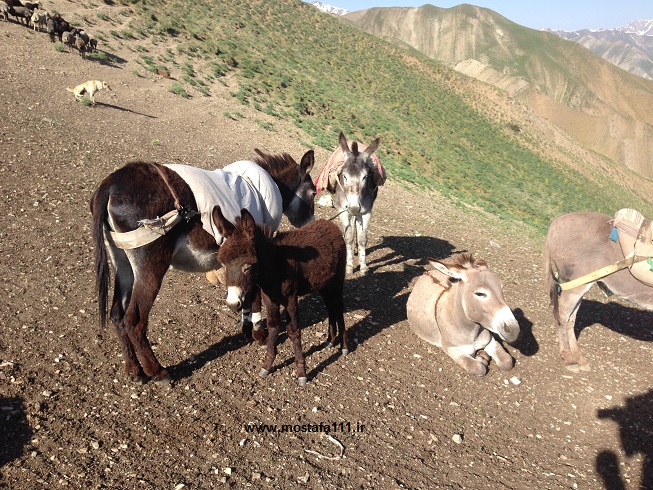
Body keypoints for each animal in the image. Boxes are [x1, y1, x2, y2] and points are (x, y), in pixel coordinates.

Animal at [90, 149, 316, 385]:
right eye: (313, 192)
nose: (310, 223)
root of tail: (111, 185)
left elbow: (246, 292)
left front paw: (246, 327)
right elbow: (254, 295)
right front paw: (258, 333)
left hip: (122, 262)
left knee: (117, 314)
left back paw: (135, 371)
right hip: (150, 267)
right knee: (134, 320)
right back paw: (158, 372)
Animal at [213, 206, 348, 385]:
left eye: (248, 266)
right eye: (223, 264)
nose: (233, 304)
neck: (275, 265)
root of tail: (331, 225)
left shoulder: (291, 299)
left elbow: (293, 331)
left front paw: (302, 373)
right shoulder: (269, 298)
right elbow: (273, 326)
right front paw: (267, 365)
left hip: (337, 281)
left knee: (338, 307)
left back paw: (344, 346)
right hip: (324, 284)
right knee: (330, 307)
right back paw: (330, 341)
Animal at [316, 132, 384, 275]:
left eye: (365, 177)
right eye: (344, 176)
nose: (354, 207)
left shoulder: (366, 211)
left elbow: (362, 238)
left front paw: (363, 267)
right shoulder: (343, 210)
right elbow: (348, 237)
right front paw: (349, 266)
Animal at [544, 211, 653, 372]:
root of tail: (556, 223)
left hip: (579, 284)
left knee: (571, 319)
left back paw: (579, 359)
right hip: (575, 286)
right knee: (563, 316)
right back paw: (569, 359)